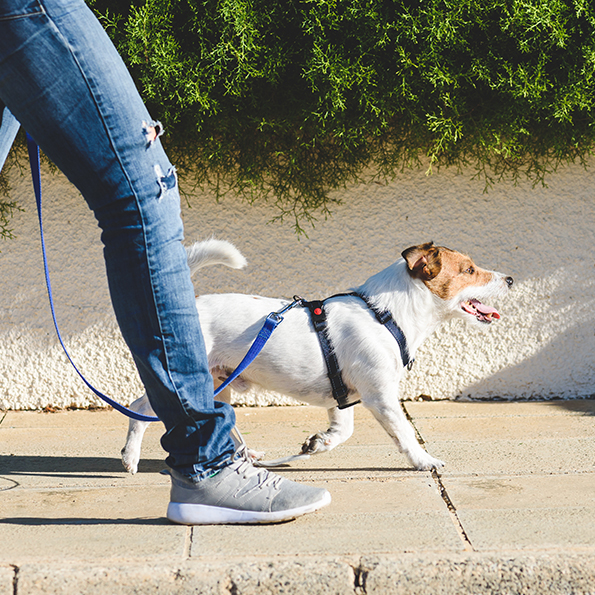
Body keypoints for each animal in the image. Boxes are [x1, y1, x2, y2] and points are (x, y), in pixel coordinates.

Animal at [120, 237, 512, 474]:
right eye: (469, 270)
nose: (509, 279)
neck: (386, 314)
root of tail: (190, 306)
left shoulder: (344, 397)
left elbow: (342, 431)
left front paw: (317, 443)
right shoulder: (381, 396)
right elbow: (404, 434)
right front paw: (423, 460)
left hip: (220, 383)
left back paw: (247, 456)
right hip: (188, 381)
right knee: (139, 409)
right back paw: (130, 457)